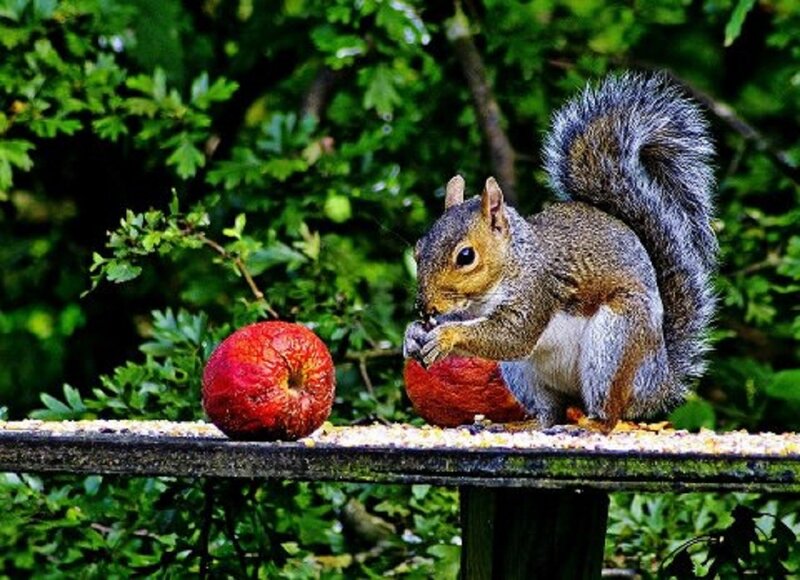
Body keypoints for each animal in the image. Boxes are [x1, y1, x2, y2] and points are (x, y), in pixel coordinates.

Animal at [403, 72, 717, 430]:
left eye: (466, 256)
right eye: (418, 249)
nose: (425, 307)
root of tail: (657, 381)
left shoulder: (537, 290)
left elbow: (513, 336)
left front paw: (445, 336)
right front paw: (412, 334)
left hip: (615, 344)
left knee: (608, 412)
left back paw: (590, 426)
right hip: (524, 374)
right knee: (548, 413)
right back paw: (521, 425)